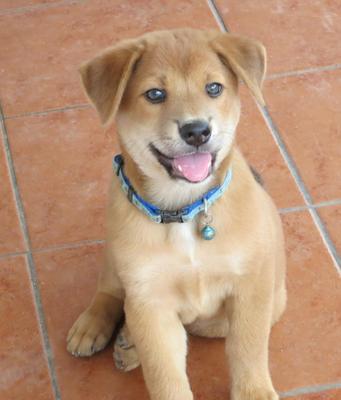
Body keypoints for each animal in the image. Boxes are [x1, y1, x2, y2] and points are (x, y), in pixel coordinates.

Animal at [66, 28, 284, 400]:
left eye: (214, 88)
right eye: (155, 94)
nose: (197, 131)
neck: (183, 211)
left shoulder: (251, 285)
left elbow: (247, 347)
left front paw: (253, 391)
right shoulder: (148, 295)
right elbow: (164, 373)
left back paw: (128, 344)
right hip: (117, 258)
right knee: (111, 290)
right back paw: (94, 327)